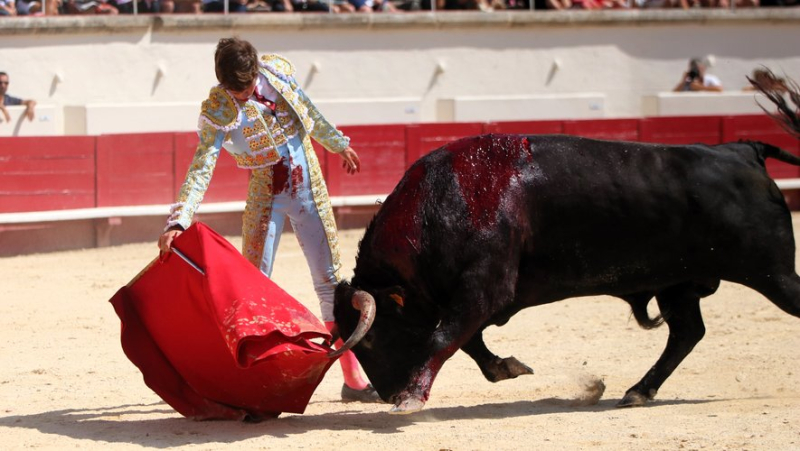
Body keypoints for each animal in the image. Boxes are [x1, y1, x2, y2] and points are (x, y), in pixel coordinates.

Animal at [332, 133, 800, 414]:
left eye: (369, 338)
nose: (387, 394)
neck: (440, 203)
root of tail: (742, 149)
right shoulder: (470, 297)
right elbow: (469, 343)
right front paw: (508, 368)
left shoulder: (483, 288)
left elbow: (445, 338)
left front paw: (412, 399)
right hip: (679, 286)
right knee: (687, 333)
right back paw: (638, 391)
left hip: (772, 272)